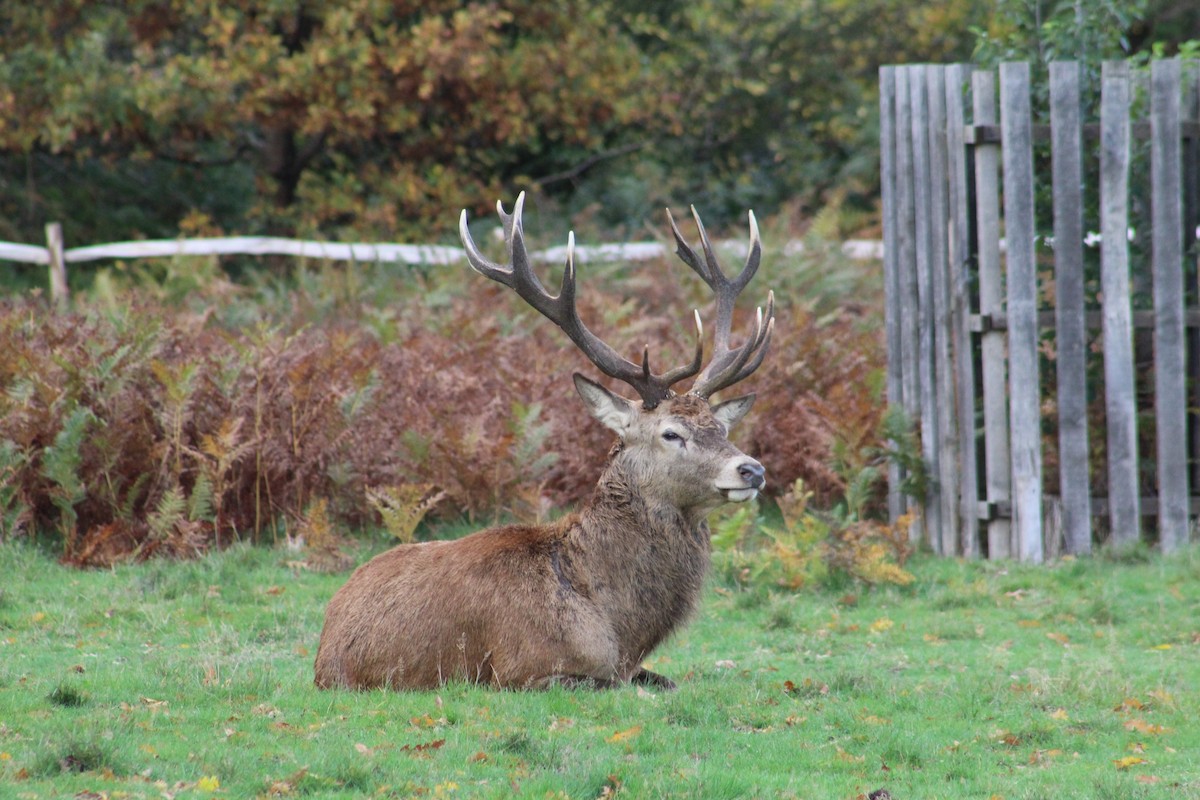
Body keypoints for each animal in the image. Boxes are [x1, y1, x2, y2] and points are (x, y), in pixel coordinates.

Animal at [314, 192, 774, 691]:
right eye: (671, 433)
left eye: (722, 428)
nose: (752, 469)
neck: (620, 630)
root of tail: (323, 643)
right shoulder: (524, 671)